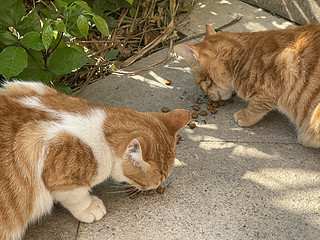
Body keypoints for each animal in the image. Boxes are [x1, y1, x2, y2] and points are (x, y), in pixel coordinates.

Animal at [175, 23, 320, 148]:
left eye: (199, 84)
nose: (210, 98)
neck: (241, 57)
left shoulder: (270, 88)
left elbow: (256, 106)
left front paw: (245, 116)